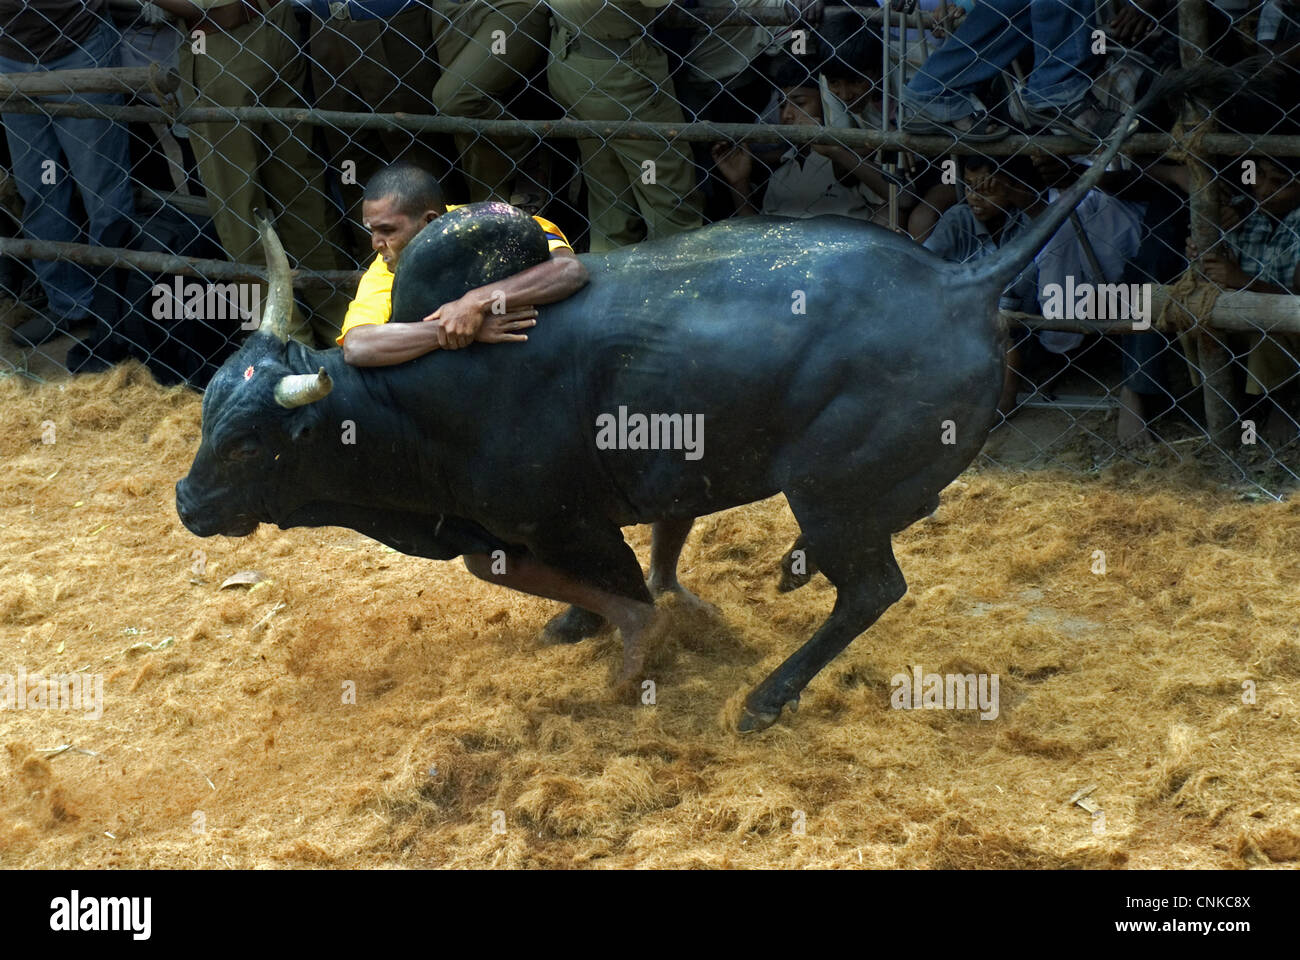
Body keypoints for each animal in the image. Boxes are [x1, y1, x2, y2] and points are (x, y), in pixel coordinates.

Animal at [175, 97, 1159, 728]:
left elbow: (611, 585)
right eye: (209, 418)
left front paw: (632, 646)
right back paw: (789, 572)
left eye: (252, 442)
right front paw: (587, 623)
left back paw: (767, 696)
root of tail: (962, 281)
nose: (187, 502)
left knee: (872, 587)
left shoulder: (557, 519)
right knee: (895, 523)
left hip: (832, 491)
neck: (411, 407)